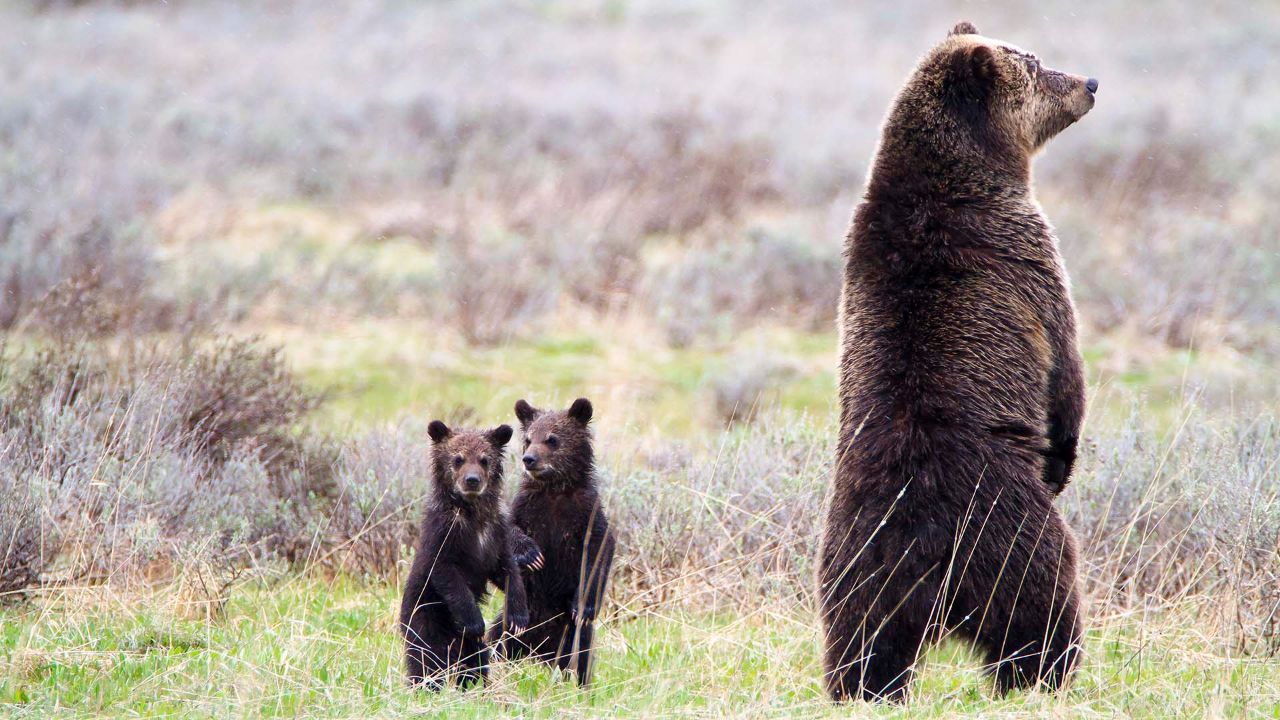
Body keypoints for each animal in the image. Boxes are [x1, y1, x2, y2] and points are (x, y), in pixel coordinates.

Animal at [394, 417, 524, 686]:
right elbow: (447, 574)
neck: (472, 513)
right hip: (425, 619)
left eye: (484, 459)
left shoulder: (496, 534)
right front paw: (475, 623)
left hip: (467, 648)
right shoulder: (444, 535)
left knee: (475, 662)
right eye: (458, 458)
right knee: (426, 661)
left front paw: (517, 617)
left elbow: (507, 570)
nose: (472, 480)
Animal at [486, 397, 611, 681]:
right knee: (496, 643)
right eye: (528, 438)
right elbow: (508, 531)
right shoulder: (528, 507)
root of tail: (540, 652)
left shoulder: (586, 513)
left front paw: (584, 607)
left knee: (582, 657)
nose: (529, 459)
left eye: (552, 439)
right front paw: (531, 554)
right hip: (511, 623)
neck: (554, 490)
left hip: (572, 636)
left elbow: (600, 552)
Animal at [814, 22, 1095, 702]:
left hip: (855, 557)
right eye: (1037, 64)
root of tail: (927, 546)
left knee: (864, 640)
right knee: (1041, 612)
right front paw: (1063, 454)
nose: (1091, 82)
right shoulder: (1025, 253)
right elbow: (1065, 363)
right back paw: (1047, 676)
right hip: (1010, 535)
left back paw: (861, 688)